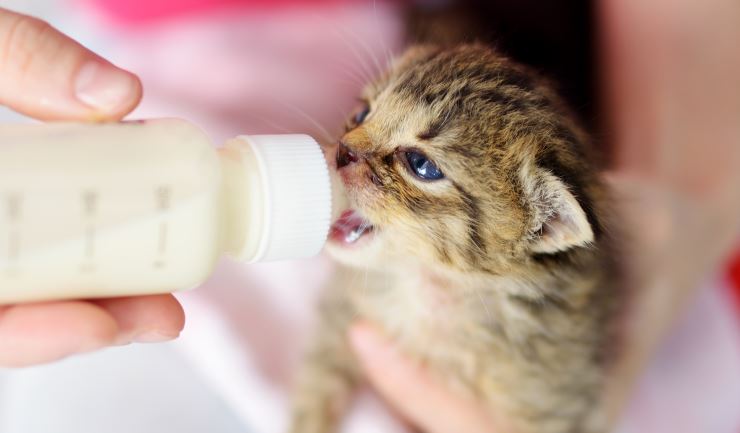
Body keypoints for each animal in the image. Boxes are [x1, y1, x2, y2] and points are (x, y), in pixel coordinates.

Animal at [290, 43, 620, 432]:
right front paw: (307, 418)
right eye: (361, 113)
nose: (342, 150)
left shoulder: (559, 402)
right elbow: (323, 366)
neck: (431, 290)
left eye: (421, 165)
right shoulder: (343, 306)